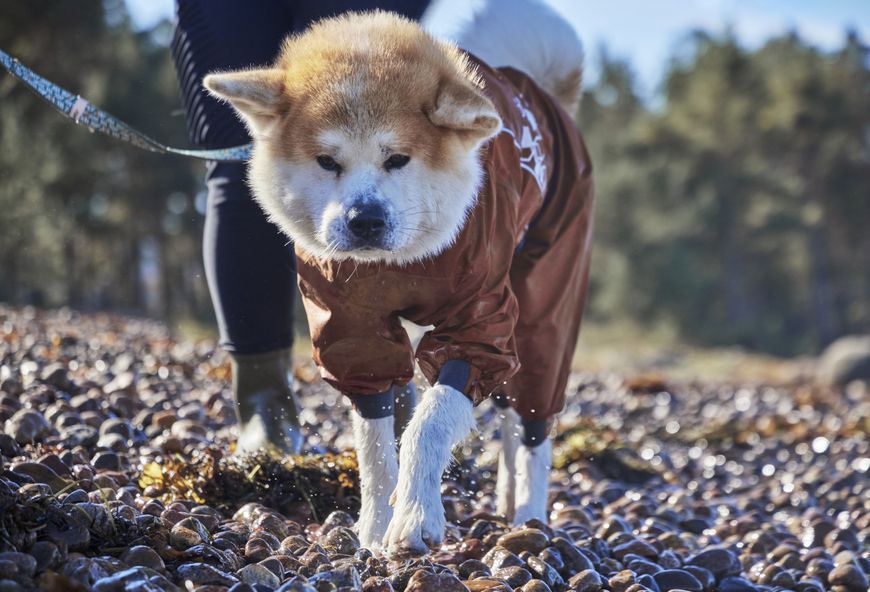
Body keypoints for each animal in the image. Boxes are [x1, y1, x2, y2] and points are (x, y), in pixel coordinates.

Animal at [204, 0, 596, 556]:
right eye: (327, 161)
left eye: (397, 159)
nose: (364, 220)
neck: (405, 262)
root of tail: (539, 89)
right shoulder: (351, 329)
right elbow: (375, 441)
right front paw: (373, 526)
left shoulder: (480, 325)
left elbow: (428, 424)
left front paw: (415, 516)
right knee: (510, 416)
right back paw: (505, 498)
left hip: (546, 300)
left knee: (534, 421)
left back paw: (530, 513)